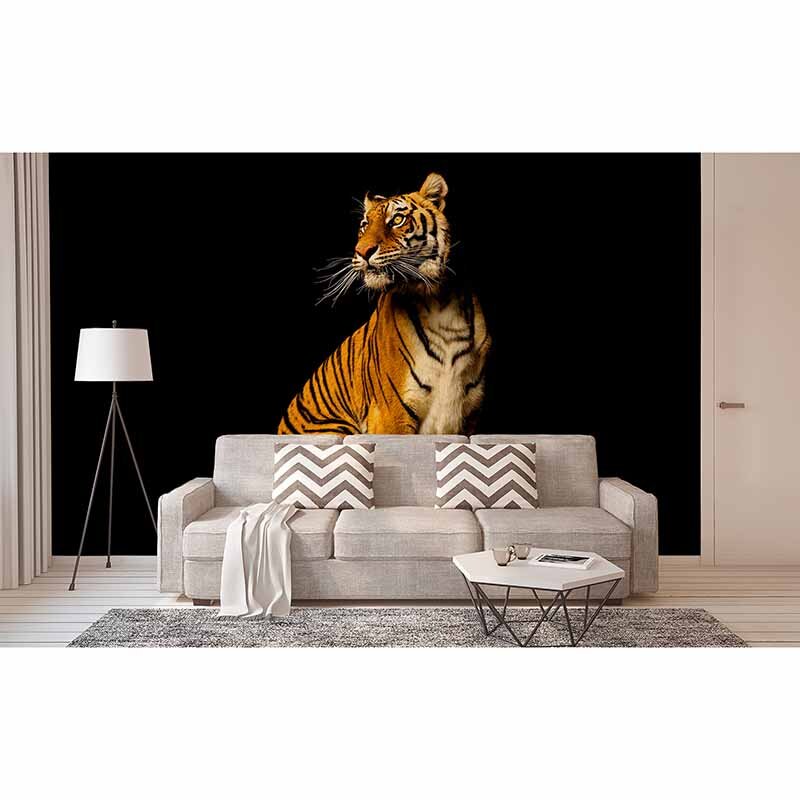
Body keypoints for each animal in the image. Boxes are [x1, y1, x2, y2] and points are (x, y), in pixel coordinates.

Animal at [277, 172, 491, 436]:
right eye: (364, 225)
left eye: (397, 220)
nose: (361, 251)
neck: (439, 300)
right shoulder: (390, 413)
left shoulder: (469, 413)